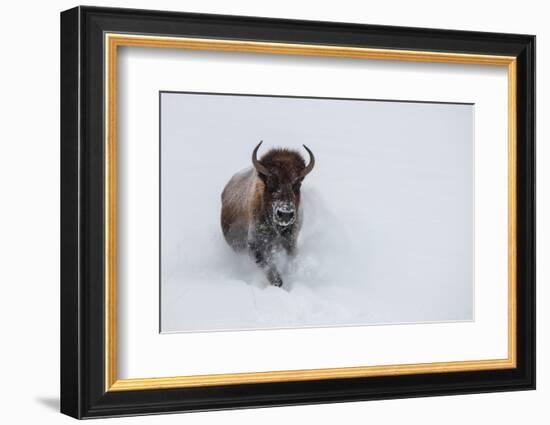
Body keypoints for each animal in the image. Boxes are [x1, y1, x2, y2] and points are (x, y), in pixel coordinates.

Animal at [220, 141, 314, 286]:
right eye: (270, 181)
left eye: (297, 183)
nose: (285, 213)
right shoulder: (256, 246)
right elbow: (271, 270)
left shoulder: (290, 241)